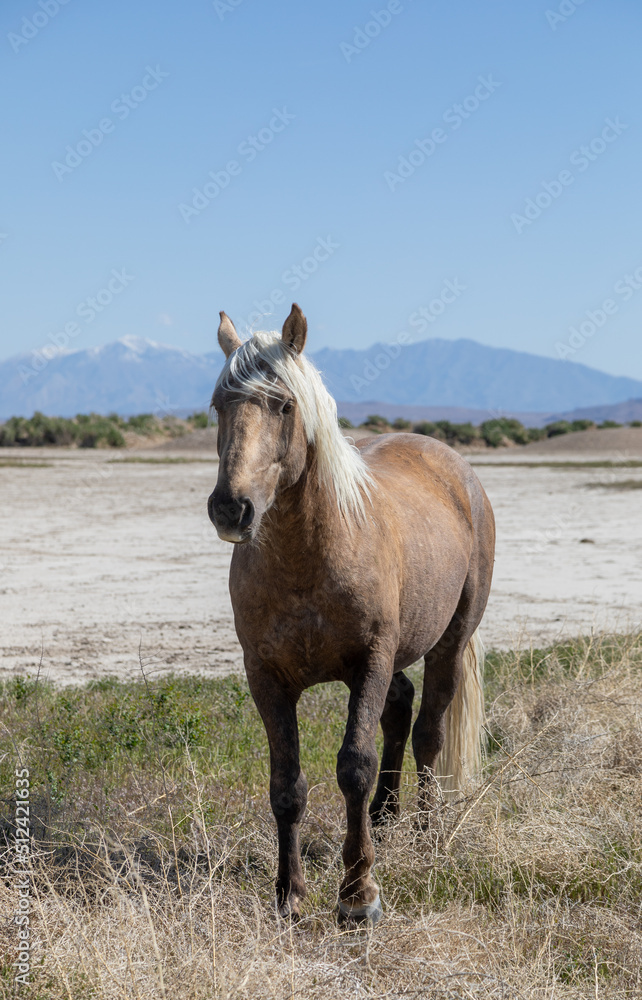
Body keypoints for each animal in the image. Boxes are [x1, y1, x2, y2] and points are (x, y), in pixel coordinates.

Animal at [208, 302, 492, 920]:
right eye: (219, 404)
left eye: (284, 405)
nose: (230, 508)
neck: (309, 558)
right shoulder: (265, 676)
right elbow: (286, 783)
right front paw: (289, 895)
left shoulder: (370, 660)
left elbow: (353, 767)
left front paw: (358, 896)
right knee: (401, 711)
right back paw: (385, 820)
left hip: (448, 641)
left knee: (428, 730)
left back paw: (426, 833)